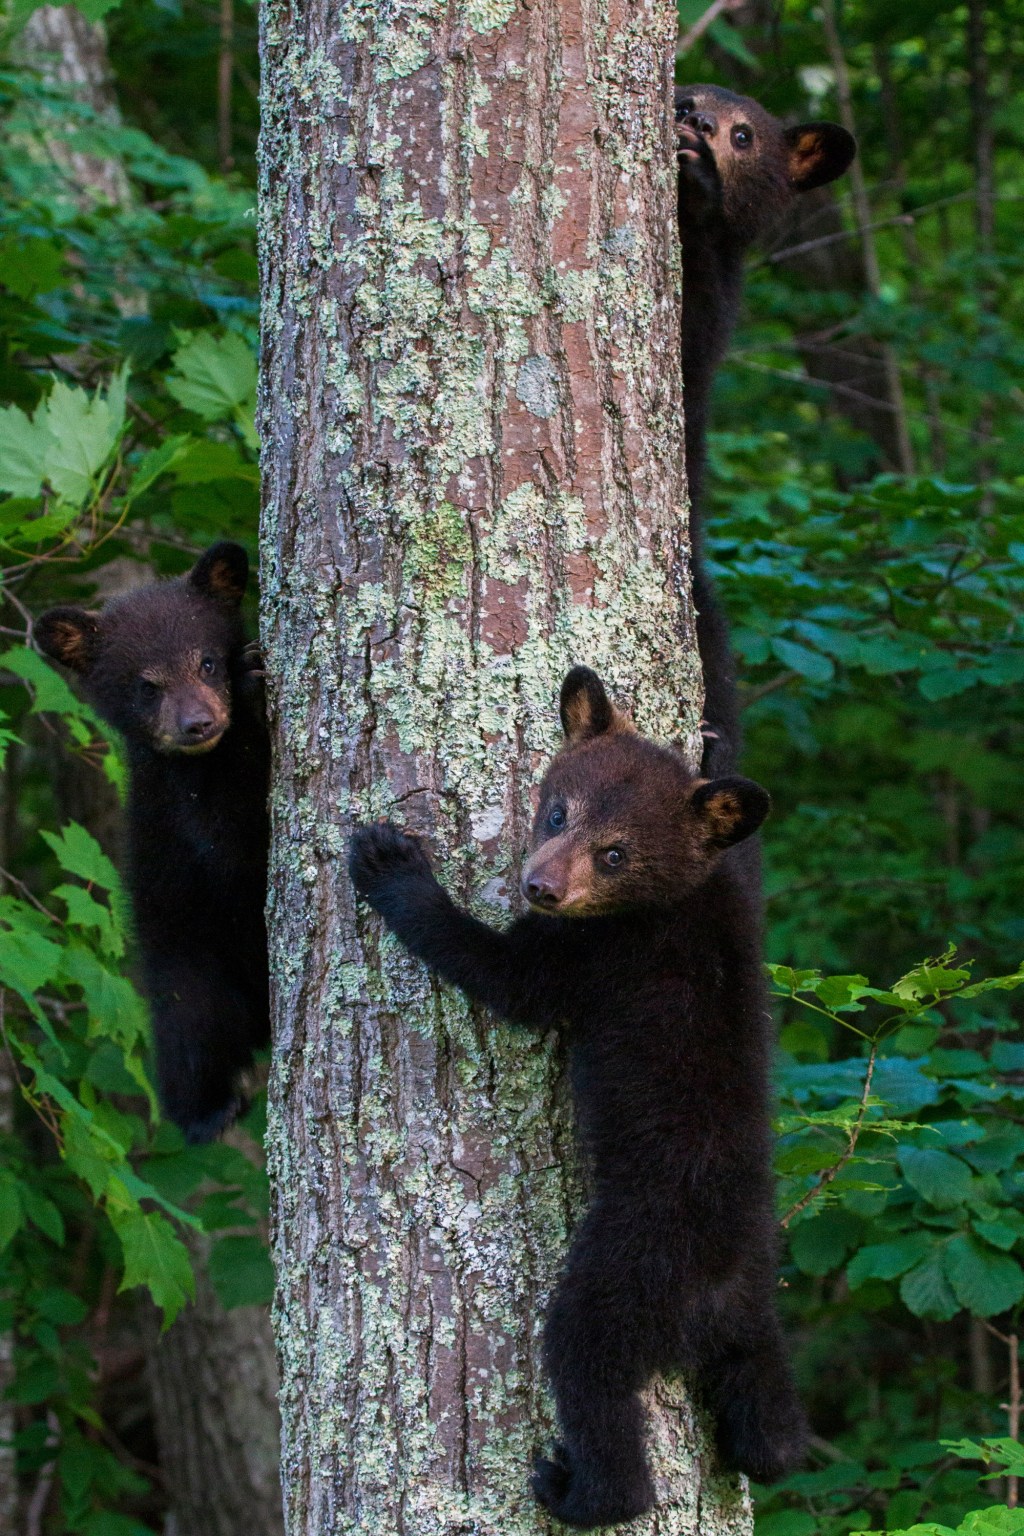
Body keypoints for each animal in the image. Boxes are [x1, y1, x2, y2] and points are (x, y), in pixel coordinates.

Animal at [35, 542, 270, 1144]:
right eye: (147, 685)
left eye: (206, 661)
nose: (198, 723)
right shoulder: (179, 816)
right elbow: (231, 845)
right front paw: (250, 693)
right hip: (189, 963)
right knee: (192, 1034)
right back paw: (209, 1110)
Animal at [349, 666, 806, 1529]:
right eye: (559, 810)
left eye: (616, 852)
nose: (541, 886)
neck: (678, 897)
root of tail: (717, 1299)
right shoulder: (744, 891)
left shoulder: (598, 954)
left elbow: (506, 978)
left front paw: (392, 865)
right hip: (761, 1323)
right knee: (772, 1429)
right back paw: (762, 1449)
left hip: (624, 1276)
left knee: (586, 1366)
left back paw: (578, 1490)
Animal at [676, 83, 856, 773]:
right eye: (684, 97)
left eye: (744, 134)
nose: (696, 121)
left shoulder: (717, 301)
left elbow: (694, 336)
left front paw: (699, 181)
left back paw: (711, 744)